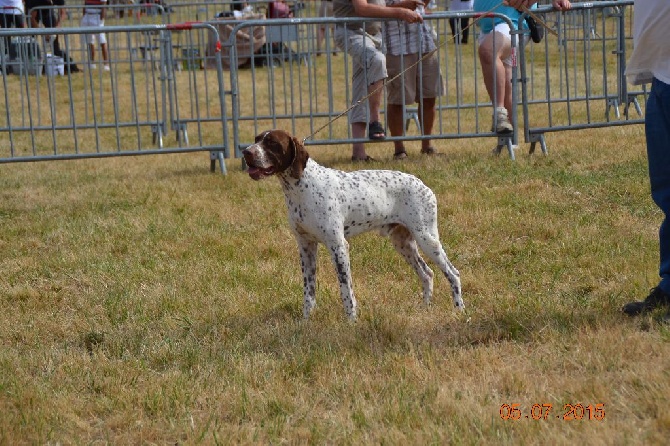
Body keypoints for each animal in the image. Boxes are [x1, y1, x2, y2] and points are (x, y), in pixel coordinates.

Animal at [244, 129, 464, 320]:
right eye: (256, 139)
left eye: (272, 143)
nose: (246, 152)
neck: (301, 187)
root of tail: (424, 185)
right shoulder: (306, 247)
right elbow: (309, 292)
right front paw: (306, 321)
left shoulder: (338, 246)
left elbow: (346, 290)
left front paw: (351, 321)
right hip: (403, 243)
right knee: (427, 274)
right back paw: (425, 307)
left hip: (427, 239)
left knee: (453, 273)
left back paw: (459, 309)